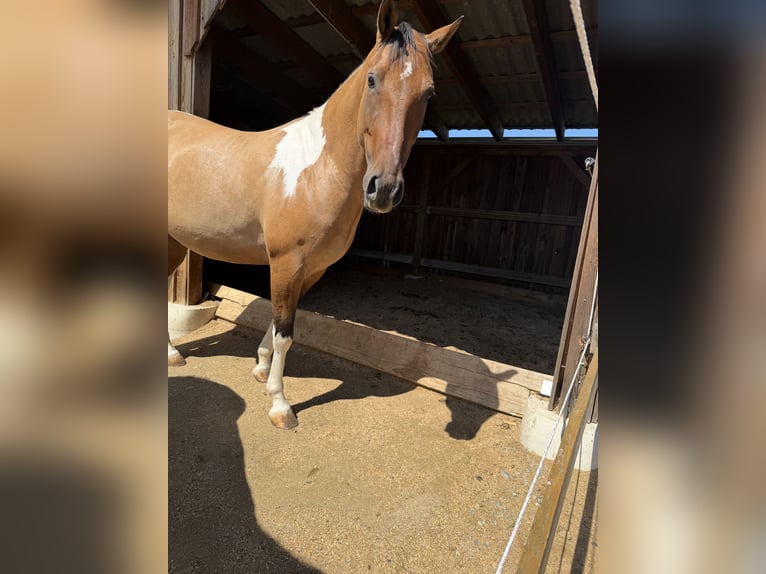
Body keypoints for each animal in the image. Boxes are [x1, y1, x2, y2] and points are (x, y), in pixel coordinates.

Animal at [168, 0, 462, 429]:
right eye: (371, 80)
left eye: (428, 93)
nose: (383, 189)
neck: (318, 168)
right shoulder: (285, 263)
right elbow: (285, 331)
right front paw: (279, 404)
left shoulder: (312, 269)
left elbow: (280, 324)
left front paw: (261, 369)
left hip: (173, 240)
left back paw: (172, 354)